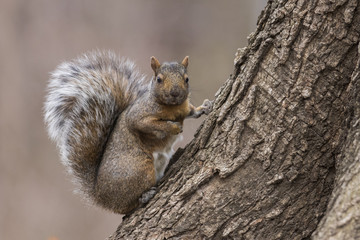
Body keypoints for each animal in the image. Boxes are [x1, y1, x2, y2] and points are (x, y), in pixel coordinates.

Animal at [43, 50, 212, 214]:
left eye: (187, 79)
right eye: (159, 79)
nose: (175, 93)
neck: (173, 107)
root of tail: (100, 196)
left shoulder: (185, 108)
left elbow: (192, 111)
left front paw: (205, 107)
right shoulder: (138, 116)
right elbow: (152, 124)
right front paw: (173, 127)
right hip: (139, 169)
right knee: (126, 206)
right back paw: (144, 196)